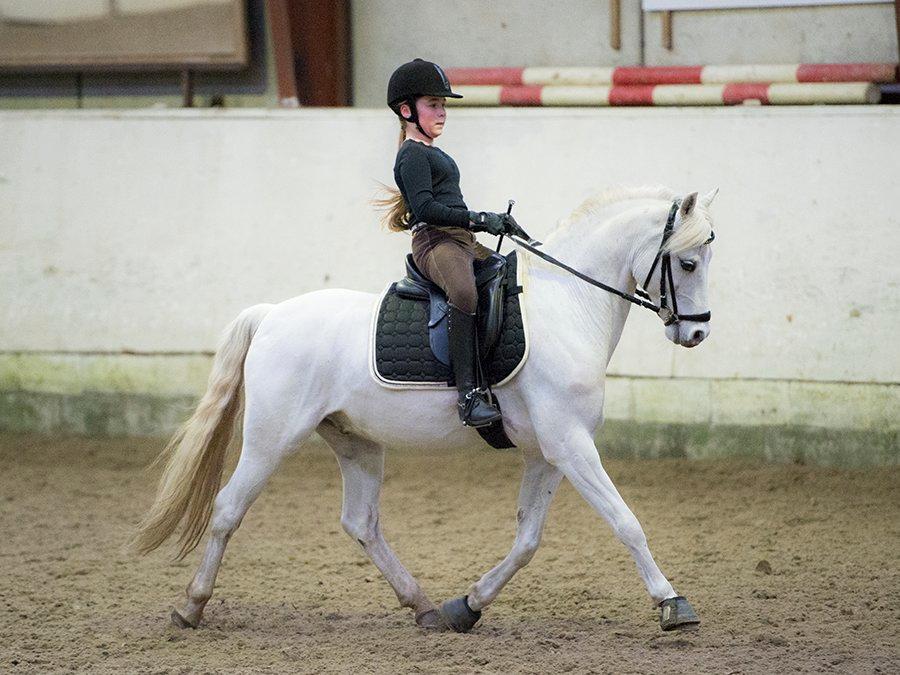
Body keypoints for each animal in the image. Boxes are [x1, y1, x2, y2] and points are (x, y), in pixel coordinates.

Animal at [135, 185, 716, 632]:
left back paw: (425, 607)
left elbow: (527, 539)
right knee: (228, 509)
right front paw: (673, 604)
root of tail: (272, 314)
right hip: (271, 439)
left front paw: (469, 606)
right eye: (688, 261)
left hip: (356, 441)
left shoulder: (549, 452)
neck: (567, 306)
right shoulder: (570, 445)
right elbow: (626, 522)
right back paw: (190, 607)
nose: (696, 333)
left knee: (361, 523)